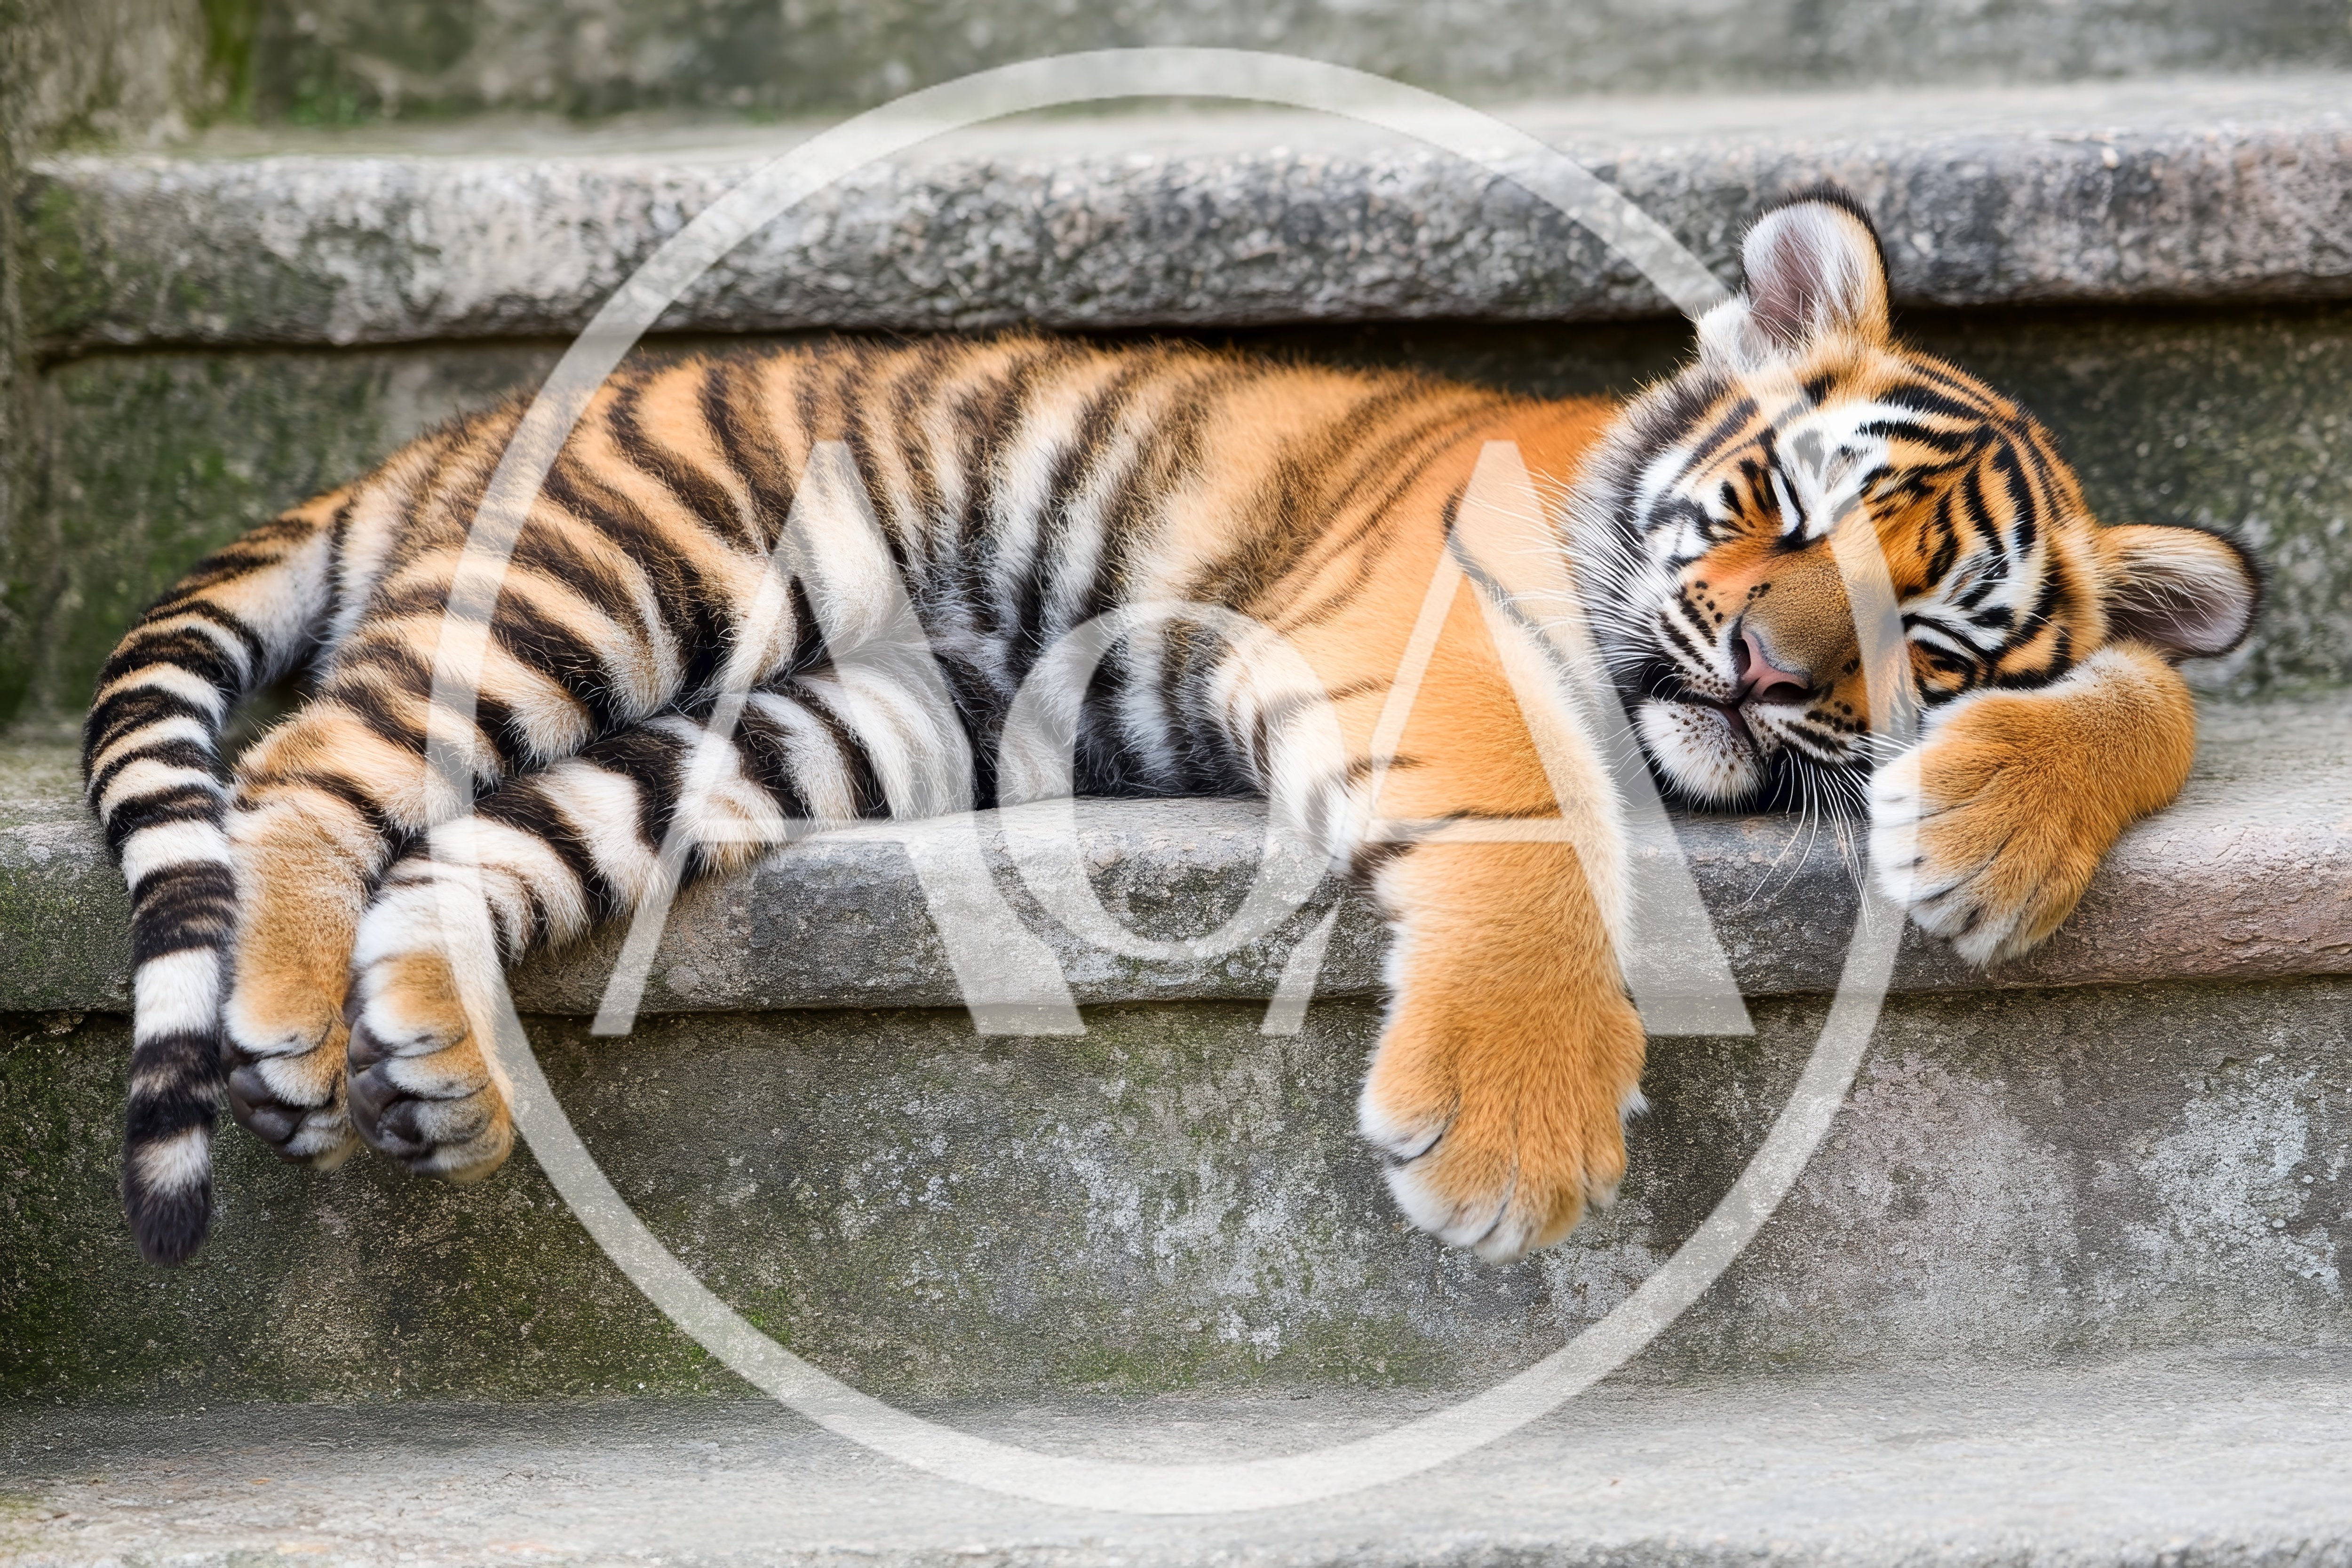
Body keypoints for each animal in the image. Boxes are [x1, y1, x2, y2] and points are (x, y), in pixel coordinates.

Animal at [84, 188, 2258, 1268]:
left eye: (1923, 641)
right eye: (1786, 512)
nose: (1755, 672)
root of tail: (438, 443)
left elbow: (2153, 679)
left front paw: (1990, 834)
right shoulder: (1431, 638)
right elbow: (1532, 826)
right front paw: (1510, 1135)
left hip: (847, 717)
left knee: (478, 835)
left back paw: (436, 1063)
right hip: (636, 559)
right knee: (300, 771)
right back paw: (288, 1012)